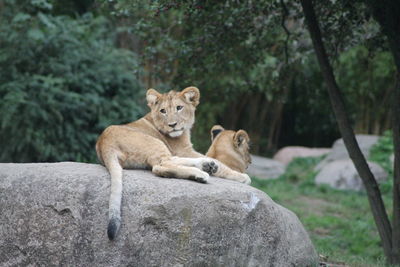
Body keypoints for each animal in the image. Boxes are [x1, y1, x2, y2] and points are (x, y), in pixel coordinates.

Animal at [96, 86, 250, 241]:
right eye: (163, 110)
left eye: (179, 108)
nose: (172, 125)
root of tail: (104, 144)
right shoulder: (184, 150)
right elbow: (222, 164)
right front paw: (242, 177)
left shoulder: (184, 150)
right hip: (155, 142)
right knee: (161, 164)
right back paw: (203, 171)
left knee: (162, 166)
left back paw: (205, 167)